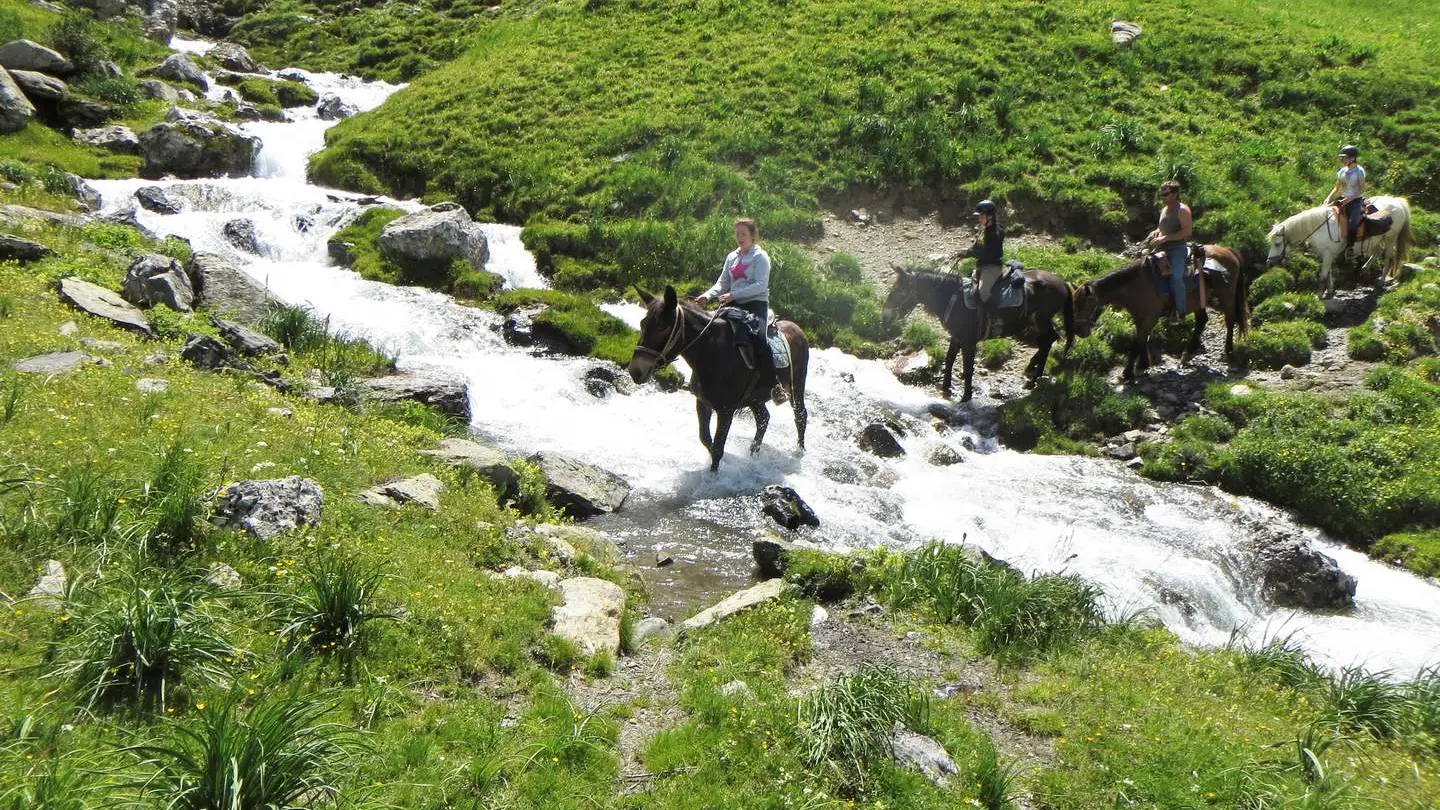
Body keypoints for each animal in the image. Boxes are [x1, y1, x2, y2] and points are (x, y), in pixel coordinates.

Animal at [630, 285, 812, 469]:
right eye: (643, 324)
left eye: (663, 327)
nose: (635, 371)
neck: (714, 352)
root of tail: (797, 329)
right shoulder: (703, 403)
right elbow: (706, 439)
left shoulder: (726, 411)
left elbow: (717, 448)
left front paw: (714, 473)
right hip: (755, 398)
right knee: (764, 418)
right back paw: (753, 454)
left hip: (797, 384)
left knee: (800, 415)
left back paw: (799, 452)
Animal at [881, 265, 1077, 400]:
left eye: (900, 293)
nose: (885, 318)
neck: (952, 299)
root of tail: (1063, 282)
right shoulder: (956, 337)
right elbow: (949, 360)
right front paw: (946, 389)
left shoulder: (969, 341)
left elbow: (968, 367)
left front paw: (966, 397)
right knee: (1047, 342)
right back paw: (1031, 369)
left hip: (1041, 321)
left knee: (1049, 340)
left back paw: (1033, 379)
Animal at [1071, 245, 1249, 380]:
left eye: (1084, 306)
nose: (1078, 331)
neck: (1134, 285)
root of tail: (1229, 251)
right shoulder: (1141, 318)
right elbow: (1141, 340)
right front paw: (1142, 364)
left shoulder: (1148, 319)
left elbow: (1137, 343)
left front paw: (1127, 373)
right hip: (1199, 301)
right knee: (1202, 320)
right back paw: (1188, 353)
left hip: (1227, 297)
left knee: (1230, 319)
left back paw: (1227, 350)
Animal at [1267, 193, 1411, 296]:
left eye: (1277, 244)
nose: (1269, 262)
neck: (1319, 228)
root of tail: (1397, 202)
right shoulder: (1327, 254)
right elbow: (1329, 273)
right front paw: (1329, 291)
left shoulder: (1327, 254)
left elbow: (1323, 276)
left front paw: (1319, 295)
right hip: (1374, 240)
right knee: (1377, 252)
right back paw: (1364, 269)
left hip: (1391, 238)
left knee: (1387, 258)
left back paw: (1381, 280)